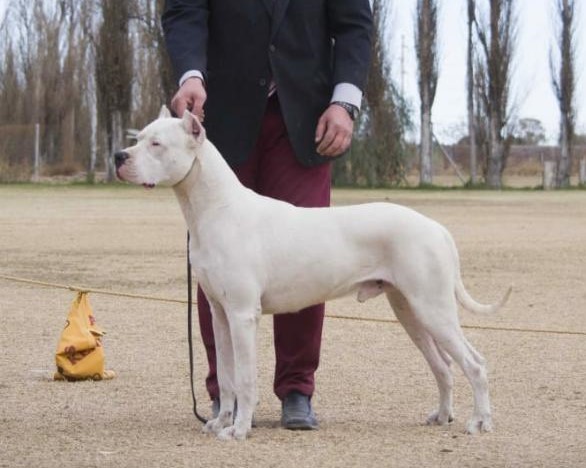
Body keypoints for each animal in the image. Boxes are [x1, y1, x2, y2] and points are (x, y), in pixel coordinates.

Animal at [115, 106, 512, 438]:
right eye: (138, 138)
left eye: (156, 144)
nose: (119, 156)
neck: (214, 208)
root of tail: (437, 228)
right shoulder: (220, 315)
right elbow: (227, 378)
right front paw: (220, 421)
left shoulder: (243, 315)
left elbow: (244, 379)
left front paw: (239, 430)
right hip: (410, 311)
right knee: (443, 366)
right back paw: (442, 416)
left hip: (433, 309)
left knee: (474, 364)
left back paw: (480, 422)